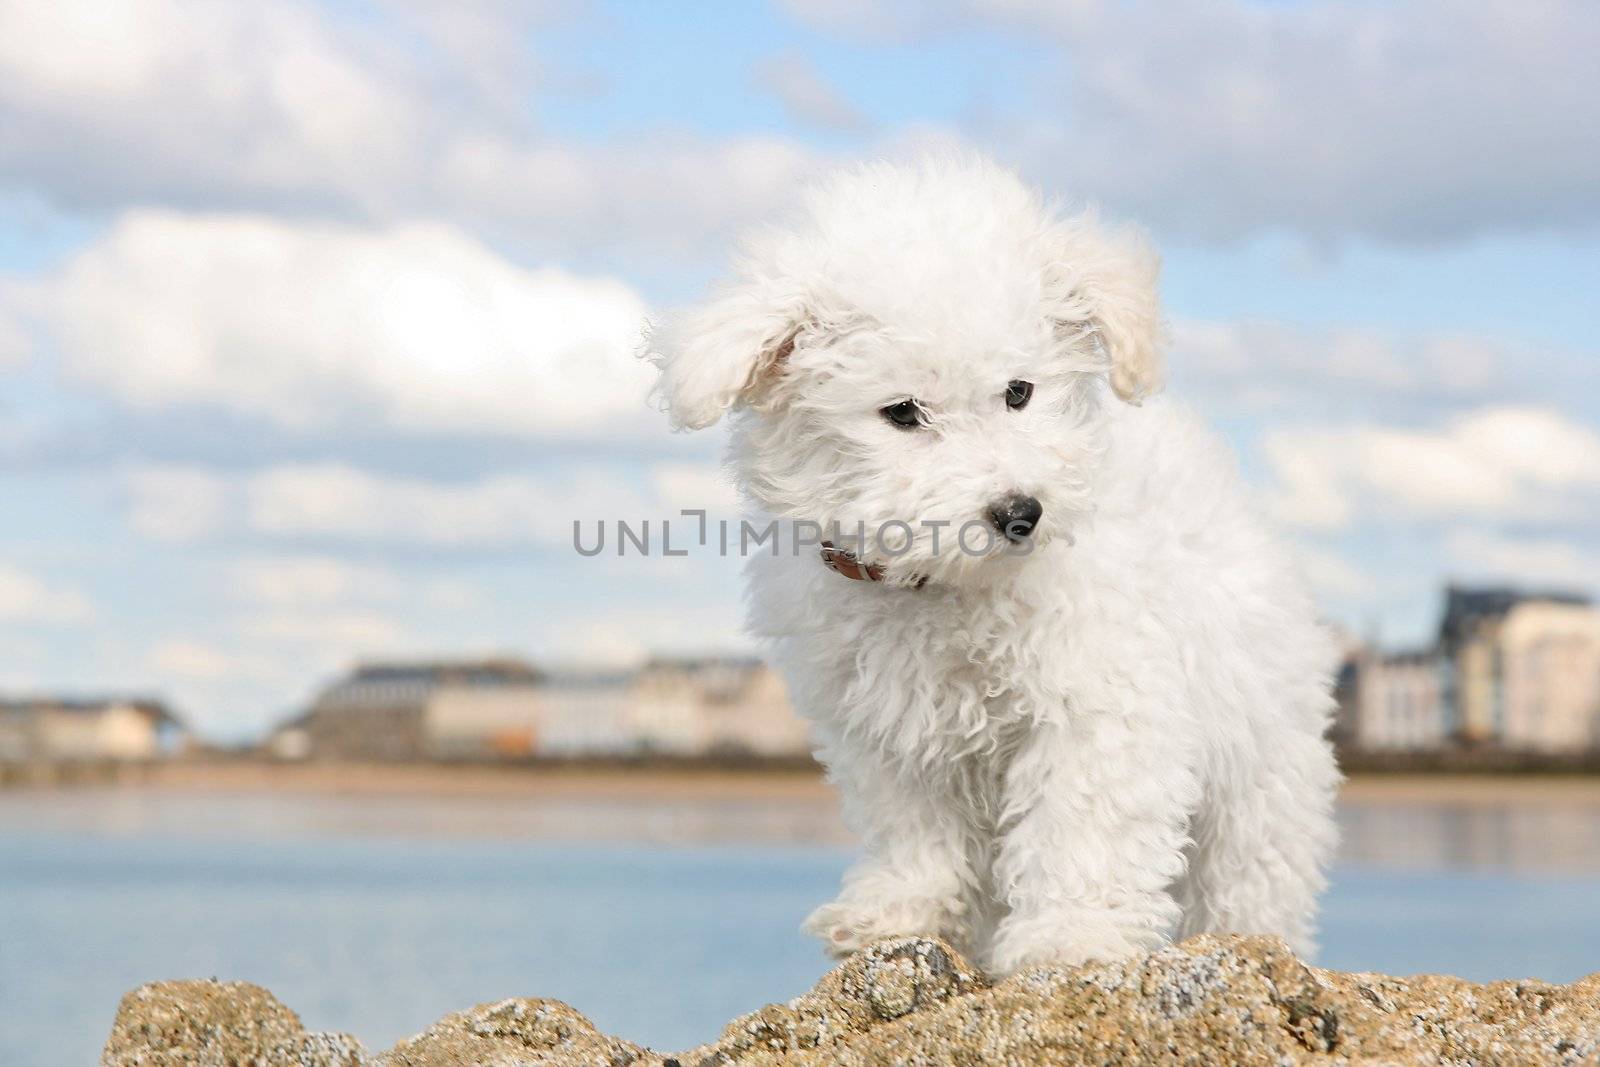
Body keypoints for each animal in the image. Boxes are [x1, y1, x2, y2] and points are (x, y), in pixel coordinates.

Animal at [646, 151, 1337, 979]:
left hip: (1259, 762)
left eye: (1018, 391)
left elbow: (1084, 826)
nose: (1020, 512)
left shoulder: (1100, 704)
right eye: (903, 412)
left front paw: (1070, 934)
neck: (945, 586)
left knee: (1249, 871)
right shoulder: (887, 730)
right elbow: (914, 829)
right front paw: (900, 911)